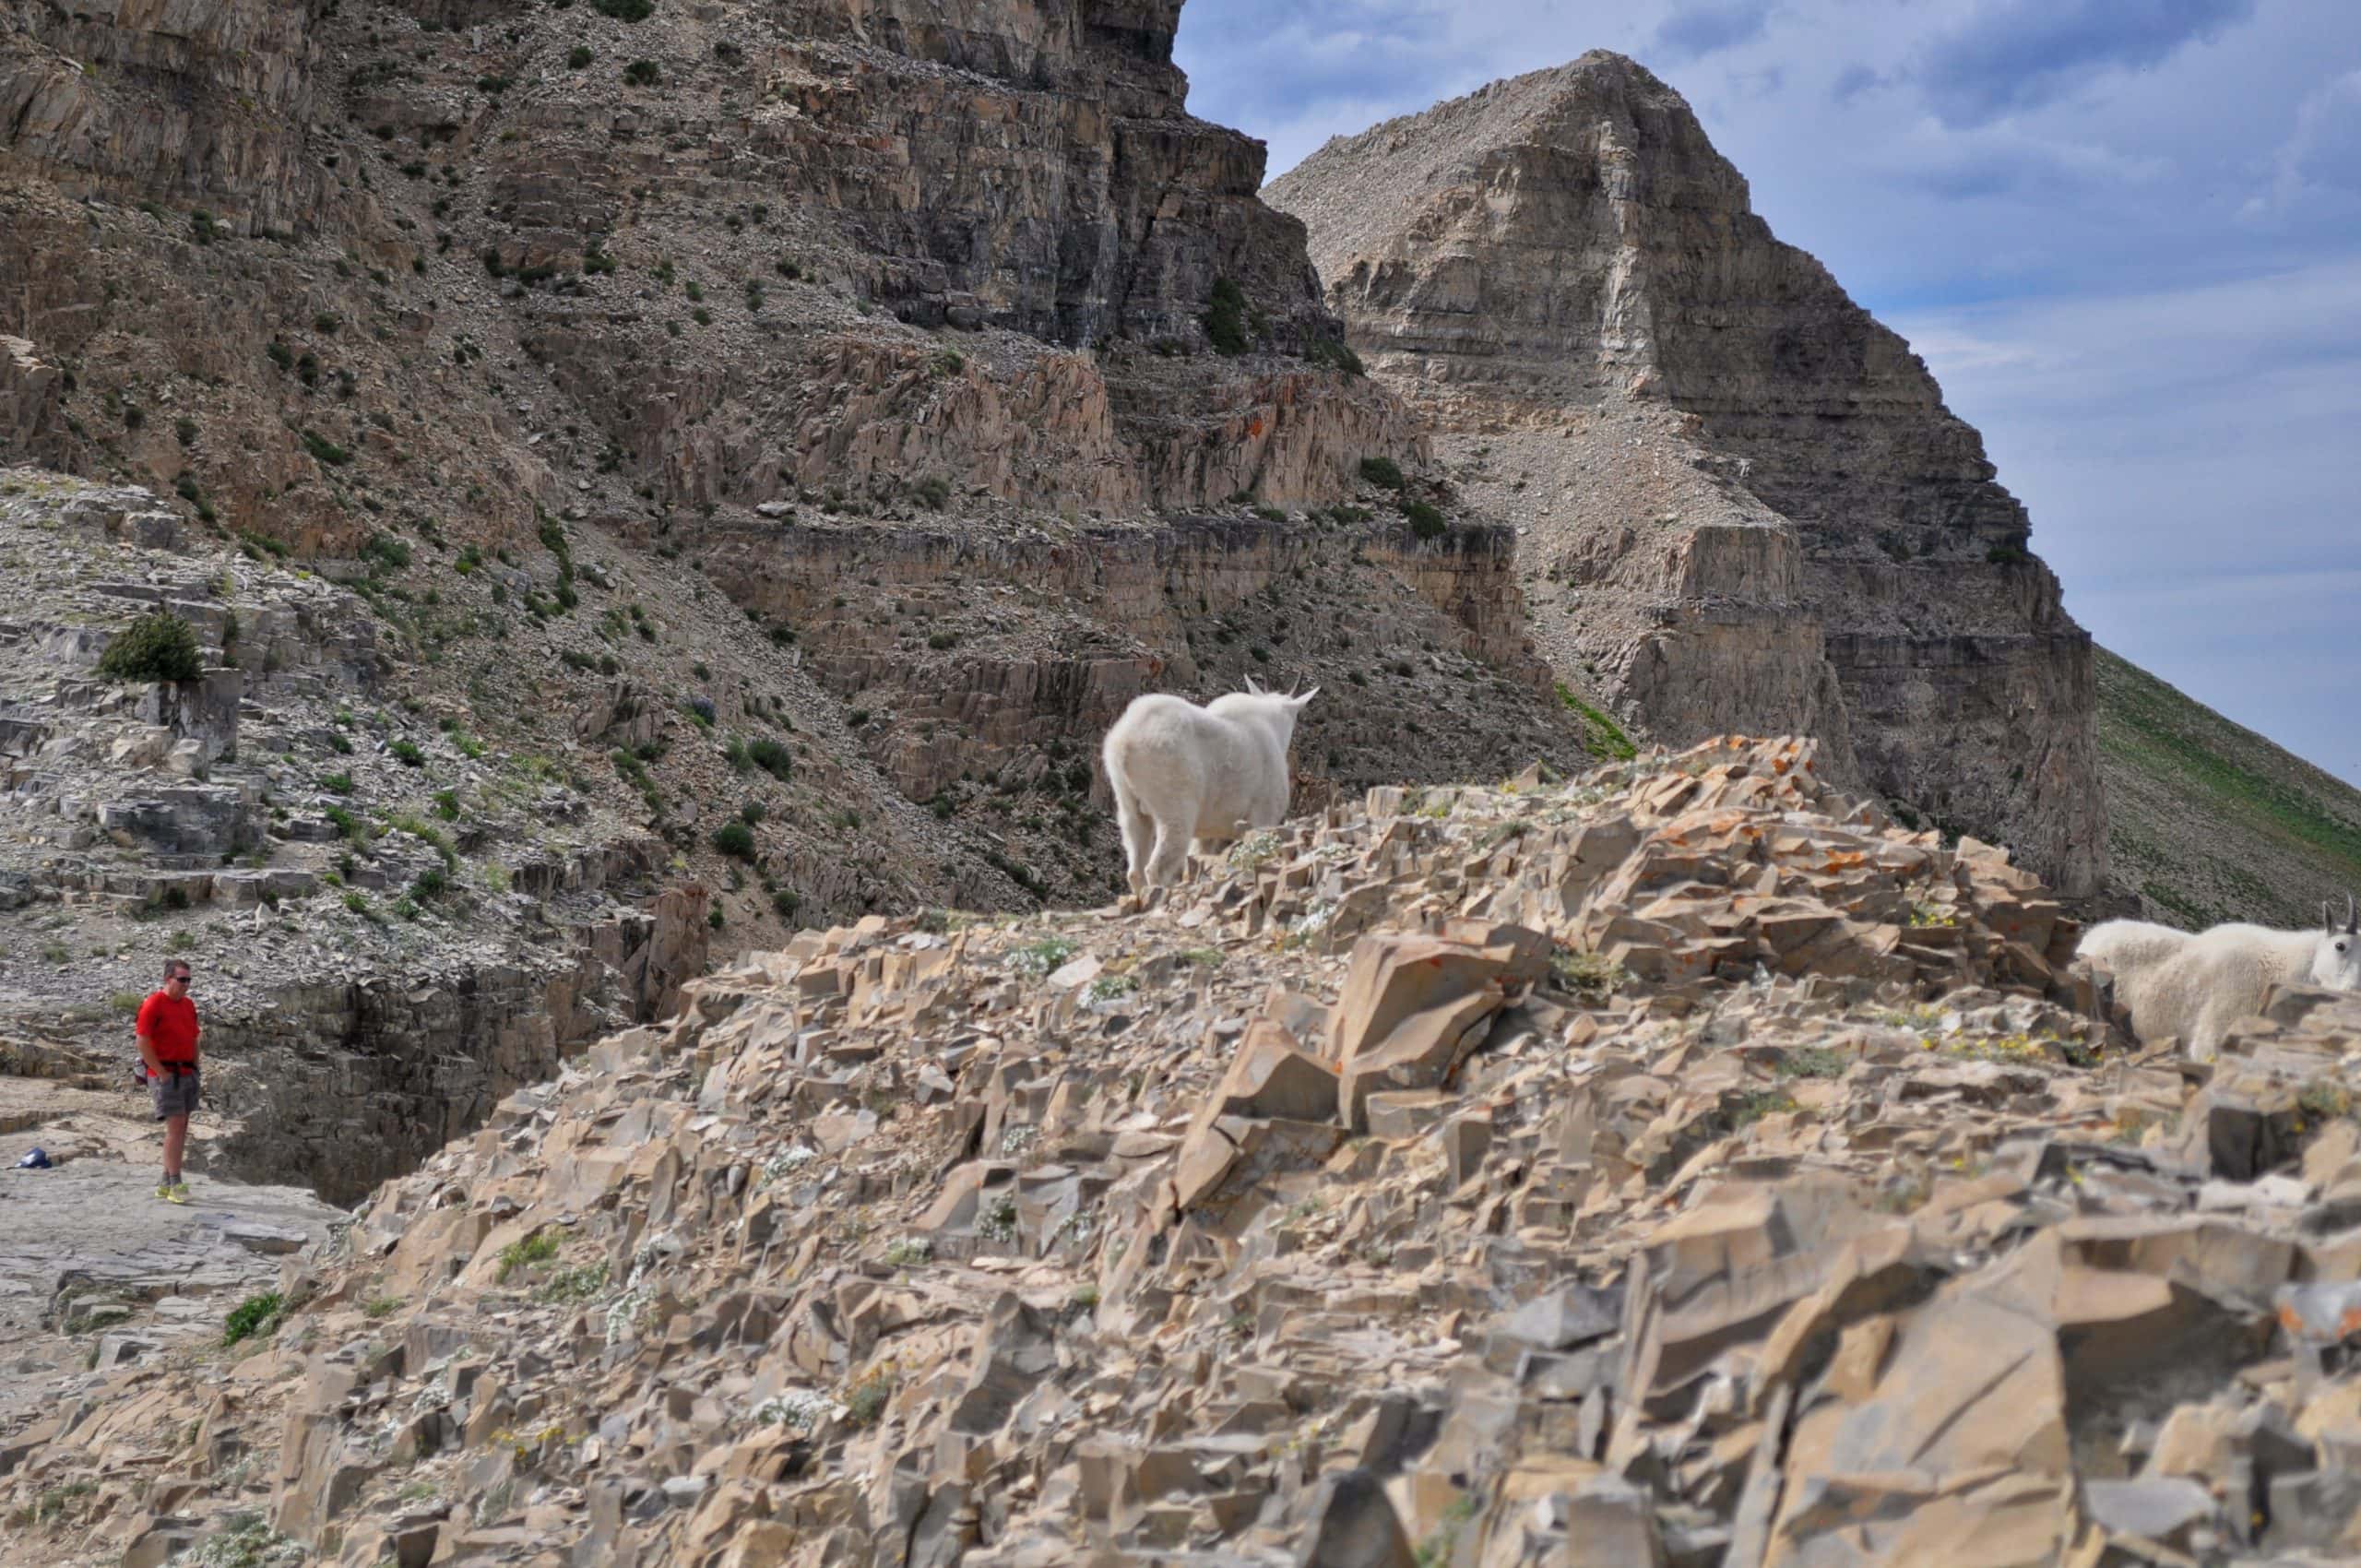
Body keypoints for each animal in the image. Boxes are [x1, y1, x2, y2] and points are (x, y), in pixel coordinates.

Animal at [1101, 678, 1318, 897]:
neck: (1273, 724)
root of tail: (1125, 744)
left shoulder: (1210, 833)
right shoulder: (1264, 815)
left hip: (1127, 803)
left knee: (1135, 865)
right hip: (1174, 802)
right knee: (1158, 866)